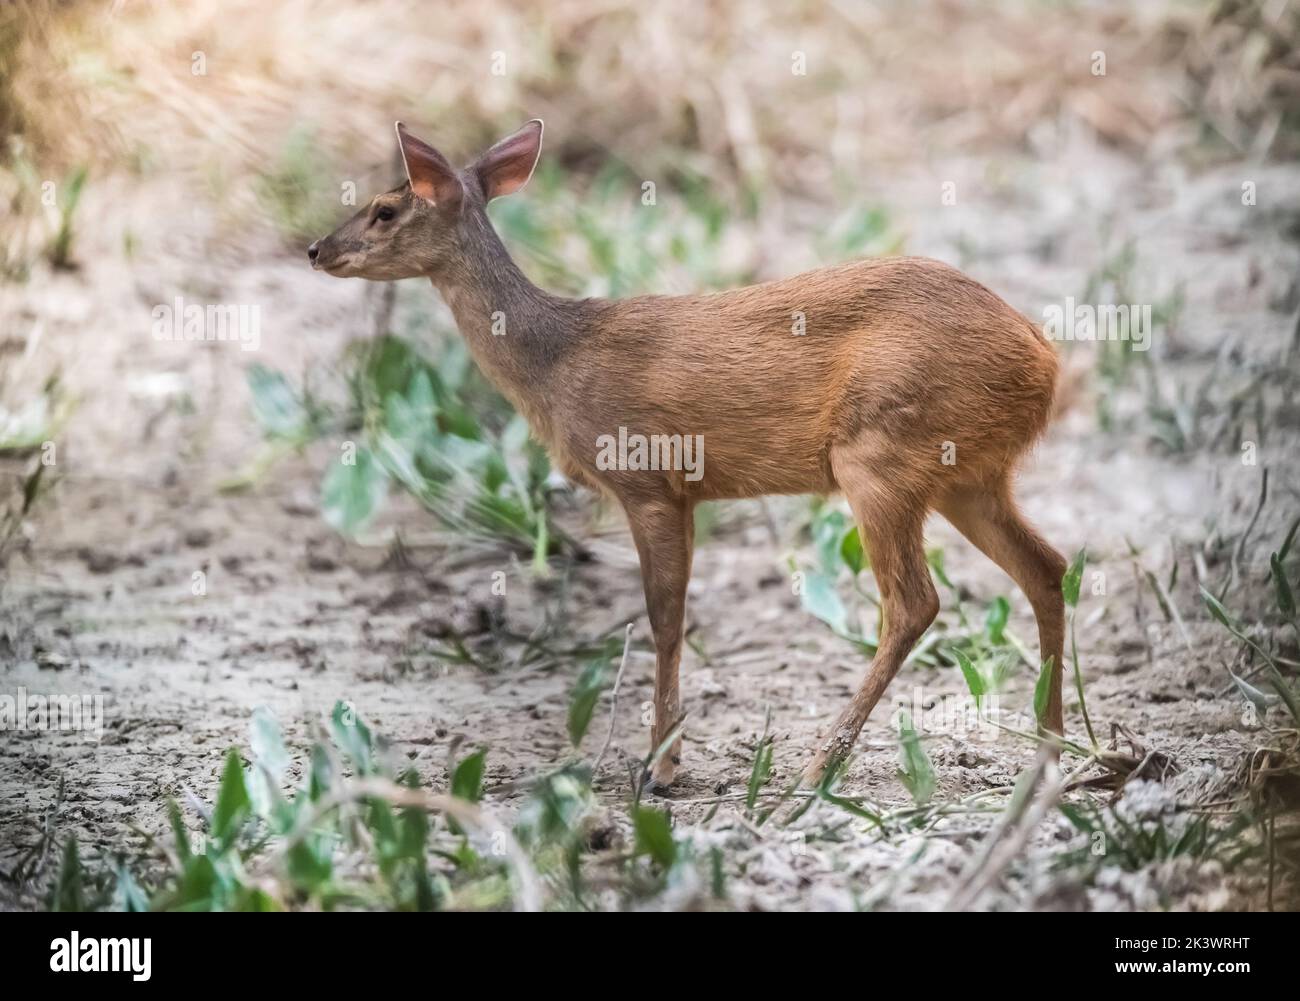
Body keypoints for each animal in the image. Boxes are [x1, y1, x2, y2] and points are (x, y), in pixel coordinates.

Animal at [307, 120, 1067, 793]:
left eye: (384, 208)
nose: (316, 249)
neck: (558, 361)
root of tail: (1044, 356)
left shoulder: (646, 479)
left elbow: (664, 616)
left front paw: (663, 767)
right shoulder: (686, 492)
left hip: (879, 452)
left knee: (913, 602)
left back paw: (814, 773)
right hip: (967, 474)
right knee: (1047, 567)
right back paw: (1053, 751)